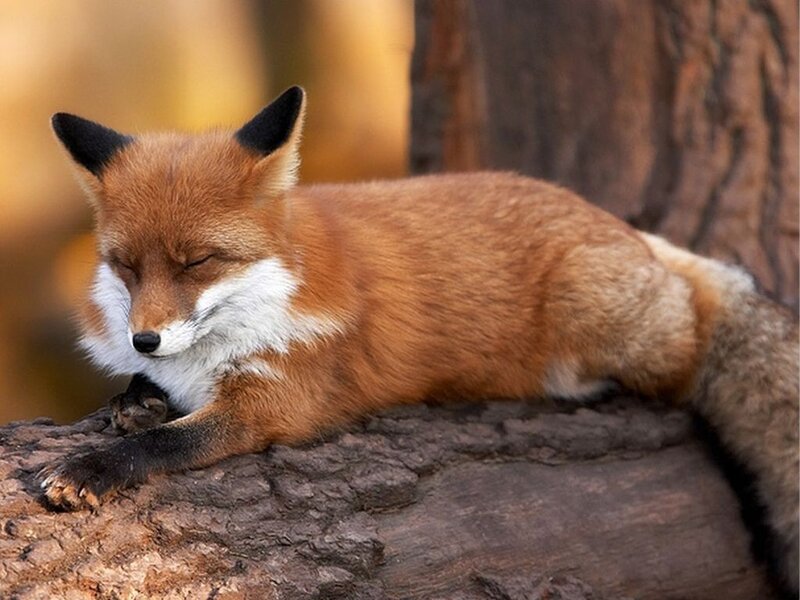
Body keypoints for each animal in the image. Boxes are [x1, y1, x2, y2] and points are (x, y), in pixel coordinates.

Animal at [40, 86, 798, 593]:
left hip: (603, 313)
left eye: (197, 262)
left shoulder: (274, 404)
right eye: (126, 267)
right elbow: (148, 402)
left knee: (691, 344)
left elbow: (166, 443)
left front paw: (92, 467)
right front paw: (136, 395)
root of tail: (623, 227)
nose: (144, 339)